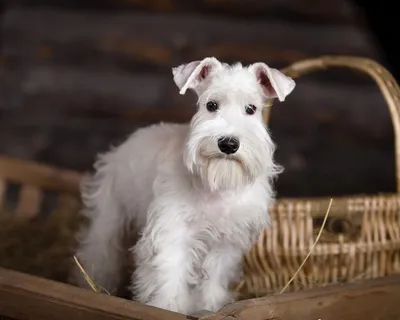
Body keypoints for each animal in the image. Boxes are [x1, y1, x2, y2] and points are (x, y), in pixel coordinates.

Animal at [72, 56, 294, 314]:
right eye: (211, 105)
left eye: (251, 109)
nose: (228, 144)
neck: (215, 186)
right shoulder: (172, 234)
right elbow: (169, 278)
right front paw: (167, 307)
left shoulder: (226, 242)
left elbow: (213, 280)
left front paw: (210, 306)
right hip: (109, 218)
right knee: (99, 253)